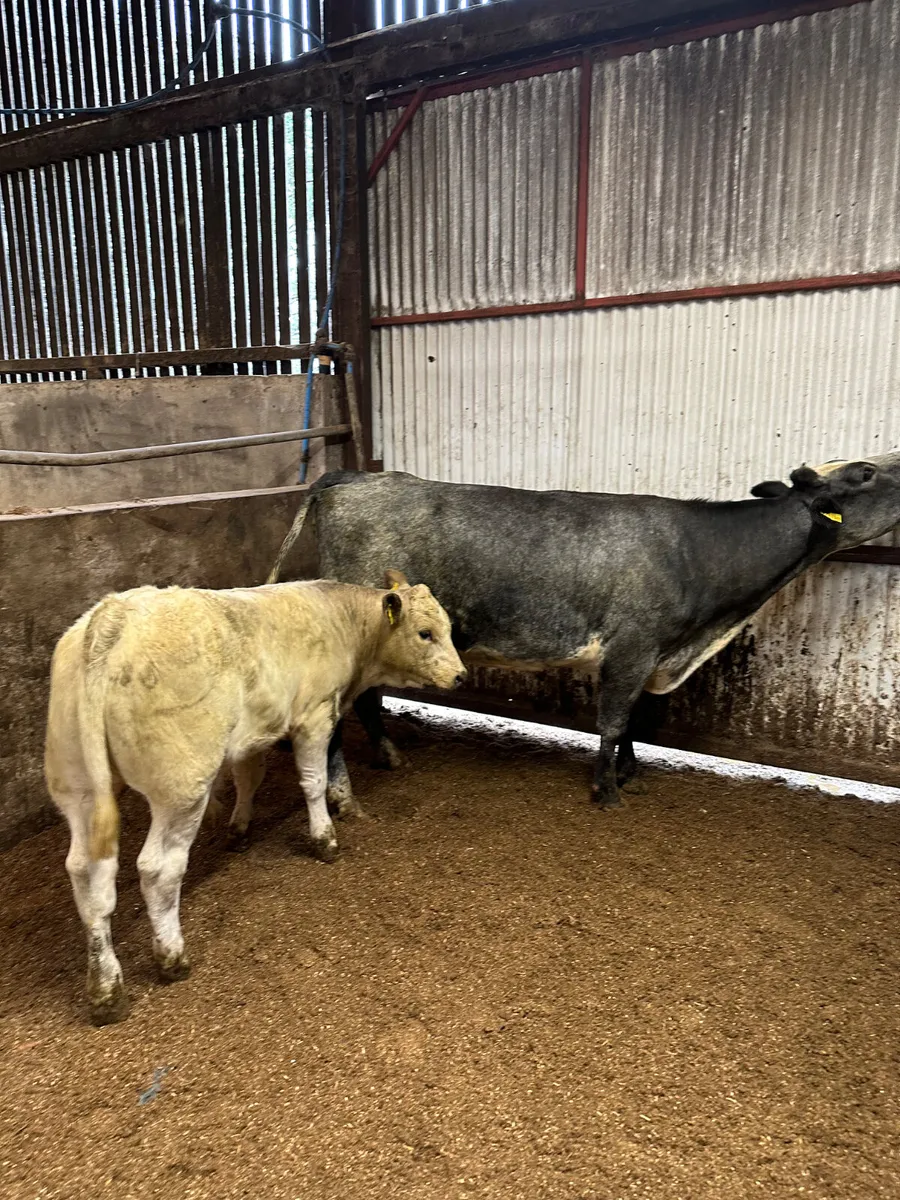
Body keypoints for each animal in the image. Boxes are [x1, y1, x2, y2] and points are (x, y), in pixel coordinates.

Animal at [45, 576, 465, 1025]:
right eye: (425, 633)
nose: (461, 676)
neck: (340, 619)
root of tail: (114, 615)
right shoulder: (314, 715)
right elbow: (313, 781)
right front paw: (325, 838)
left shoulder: (253, 733)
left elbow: (249, 778)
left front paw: (240, 829)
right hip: (181, 787)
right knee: (159, 870)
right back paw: (171, 958)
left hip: (77, 786)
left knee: (87, 875)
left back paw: (106, 989)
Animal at [267, 455, 900, 814]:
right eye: (866, 473)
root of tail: (354, 476)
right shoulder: (634, 645)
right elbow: (615, 720)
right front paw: (609, 792)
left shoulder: (646, 652)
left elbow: (633, 720)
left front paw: (628, 771)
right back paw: (344, 797)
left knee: (369, 700)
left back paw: (389, 755)